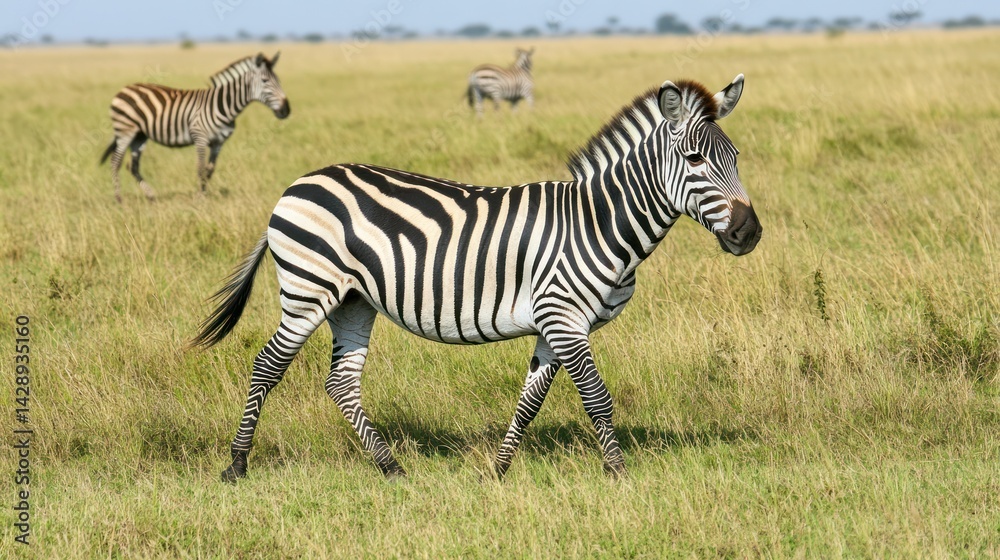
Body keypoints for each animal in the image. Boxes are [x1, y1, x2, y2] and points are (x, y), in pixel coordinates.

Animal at [100, 52, 290, 202]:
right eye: (265, 81)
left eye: (279, 81)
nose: (286, 110)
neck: (223, 105)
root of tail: (125, 88)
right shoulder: (200, 137)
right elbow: (200, 169)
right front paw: (200, 199)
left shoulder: (218, 143)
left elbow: (209, 171)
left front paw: (204, 196)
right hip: (126, 130)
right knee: (115, 162)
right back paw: (119, 199)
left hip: (140, 135)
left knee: (132, 166)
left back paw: (151, 196)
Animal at [192, 74, 761, 482]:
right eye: (695, 159)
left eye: (736, 157)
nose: (749, 232)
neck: (598, 222)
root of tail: (298, 183)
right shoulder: (564, 318)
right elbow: (597, 397)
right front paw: (619, 475)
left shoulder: (553, 325)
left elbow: (530, 403)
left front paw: (497, 471)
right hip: (308, 291)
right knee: (266, 366)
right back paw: (236, 466)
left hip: (353, 300)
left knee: (342, 383)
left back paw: (391, 469)